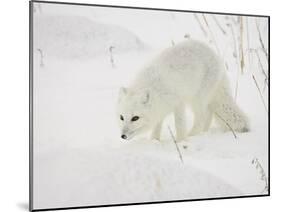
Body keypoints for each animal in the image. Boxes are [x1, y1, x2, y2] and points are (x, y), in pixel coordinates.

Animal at [117, 40, 248, 142]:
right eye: (121, 117)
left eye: (135, 118)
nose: (123, 136)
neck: (154, 86)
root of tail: (215, 55)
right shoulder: (160, 108)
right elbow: (157, 126)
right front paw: (154, 141)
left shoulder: (178, 102)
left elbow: (179, 124)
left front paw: (180, 141)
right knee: (209, 114)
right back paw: (203, 132)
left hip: (197, 98)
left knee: (202, 117)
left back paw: (193, 135)